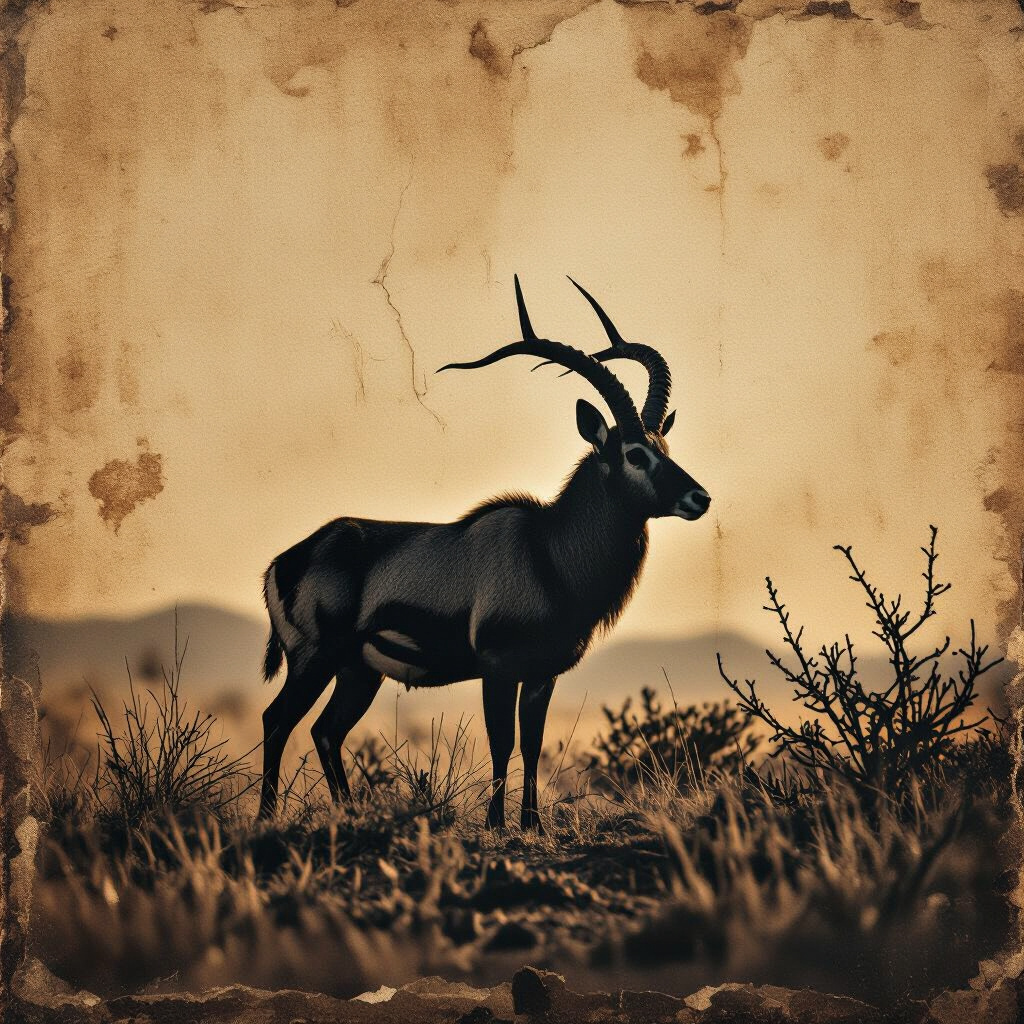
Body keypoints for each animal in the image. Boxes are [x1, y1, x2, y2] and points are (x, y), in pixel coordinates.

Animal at [258, 277, 711, 829]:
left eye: (664, 445)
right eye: (635, 453)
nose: (699, 498)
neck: (549, 550)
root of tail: (285, 562)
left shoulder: (540, 674)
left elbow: (533, 744)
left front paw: (532, 823)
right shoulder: (497, 667)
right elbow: (503, 741)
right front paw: (497, 822)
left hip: (358, 671)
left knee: (326, 730)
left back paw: (350, 813)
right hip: (314, 659)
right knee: (278, 719)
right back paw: (267, 817)